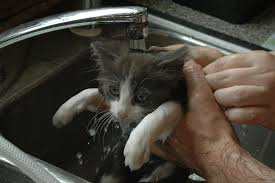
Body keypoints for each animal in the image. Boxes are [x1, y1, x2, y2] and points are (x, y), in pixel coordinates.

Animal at [52, 39, 192, 182]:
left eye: (141, 96)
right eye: (114, 90)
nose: (121, 114)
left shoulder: (182, 98)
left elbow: (165, 110)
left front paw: (136, 148)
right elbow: (91, 92)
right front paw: (63, 113)